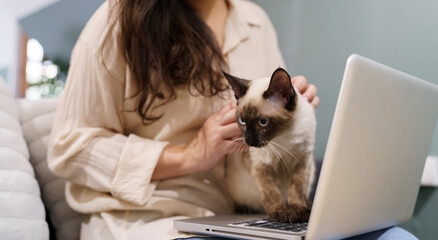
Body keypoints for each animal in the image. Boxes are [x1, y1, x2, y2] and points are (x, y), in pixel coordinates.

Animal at [218, 67, 314, 223]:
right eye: (242, 121)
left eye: (263, 122)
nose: (249, 141)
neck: (284, 134)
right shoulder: (260, 167)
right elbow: (272, 193)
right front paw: (283, 213)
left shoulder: (302, 162)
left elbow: (297, 190)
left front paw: (300, 211)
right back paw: (245, 208)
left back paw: (309, 205)